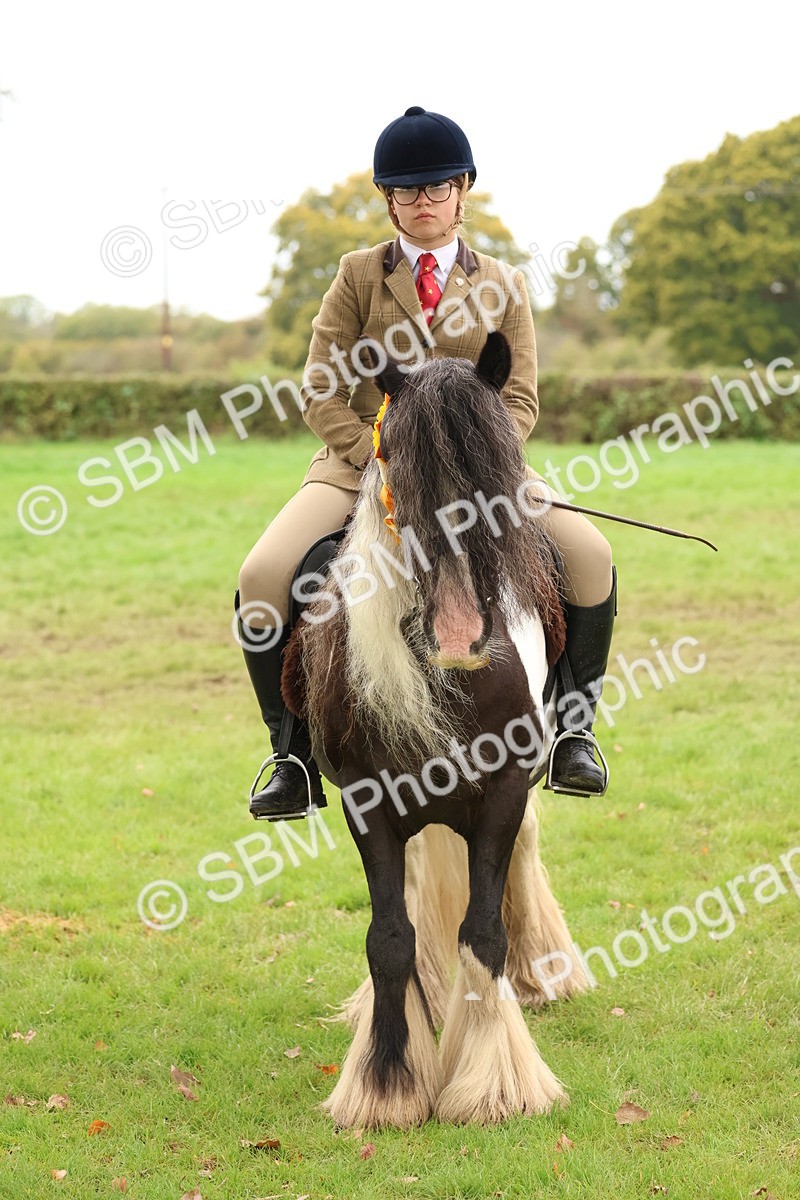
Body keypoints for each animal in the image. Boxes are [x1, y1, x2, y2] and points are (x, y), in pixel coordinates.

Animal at [282, 332, 589, 1128]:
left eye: (500, 456)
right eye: (392, 455)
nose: (459, 633)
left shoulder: (508, 784)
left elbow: (483, 931)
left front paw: (493, 1084)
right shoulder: (367, 799)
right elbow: (390, 936)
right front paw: (386, 1085)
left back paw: (541, 974)